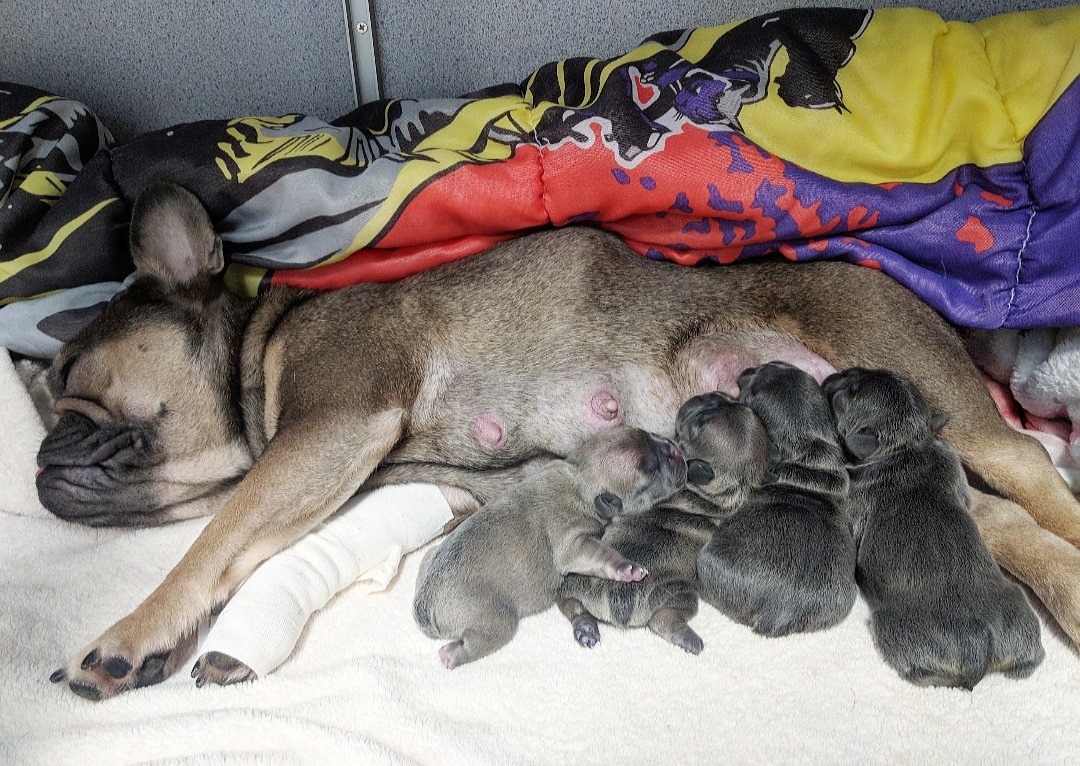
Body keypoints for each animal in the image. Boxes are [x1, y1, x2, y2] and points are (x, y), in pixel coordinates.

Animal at [410, 423, 682, 669]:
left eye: (649, 433)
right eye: (651, 472)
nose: (673, 448)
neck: (580, 478)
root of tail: (423, 605)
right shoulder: (573, 543)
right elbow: (602, 554)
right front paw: (627, 568)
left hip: (429, 558)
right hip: (490, 615)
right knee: (483, 638)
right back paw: (453, 655)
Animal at [557, 395, 768, 652]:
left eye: (700, 420)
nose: (710, 395)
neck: (726, 488)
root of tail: (614, 603)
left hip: (675, 592)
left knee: (655, 619)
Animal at [820, 365, 1041, 687]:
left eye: (853, 391)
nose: (842, 371)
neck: (907, 445)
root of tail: (982, 650)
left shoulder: (855, 499)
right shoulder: (950, 460)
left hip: (896, 629)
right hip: (1019, 621)